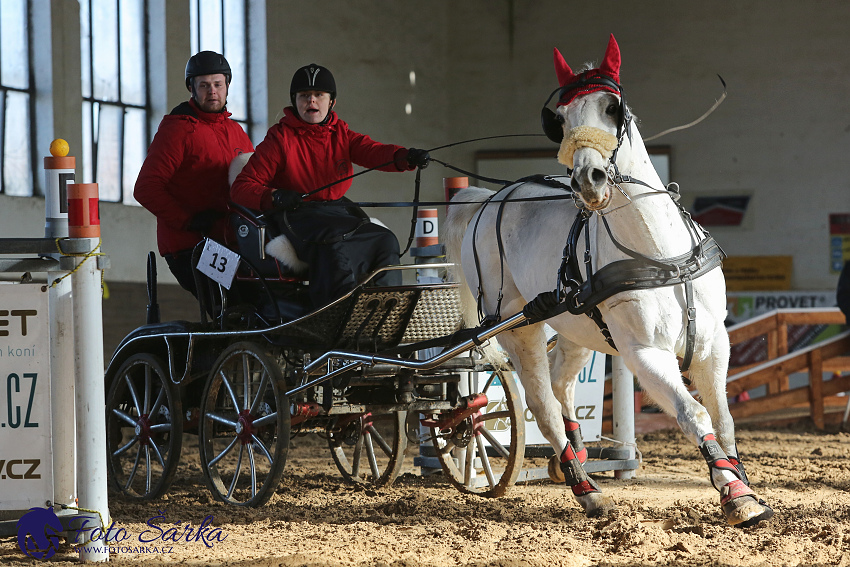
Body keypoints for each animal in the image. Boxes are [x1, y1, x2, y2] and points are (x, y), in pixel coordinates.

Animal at [448, 35, 772, 528]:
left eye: (611, 107)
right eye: (561, 119)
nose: (589, 179)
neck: (659, 255)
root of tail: (489, 199)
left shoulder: (714, 343)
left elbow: (726, 420)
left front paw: (741, 484)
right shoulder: (644, 354)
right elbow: (695, 414)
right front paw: (734, 493)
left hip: (576, 326)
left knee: (561, 382)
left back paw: (572, 456)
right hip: (516, 327)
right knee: (542, 406)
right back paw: (587, 489)